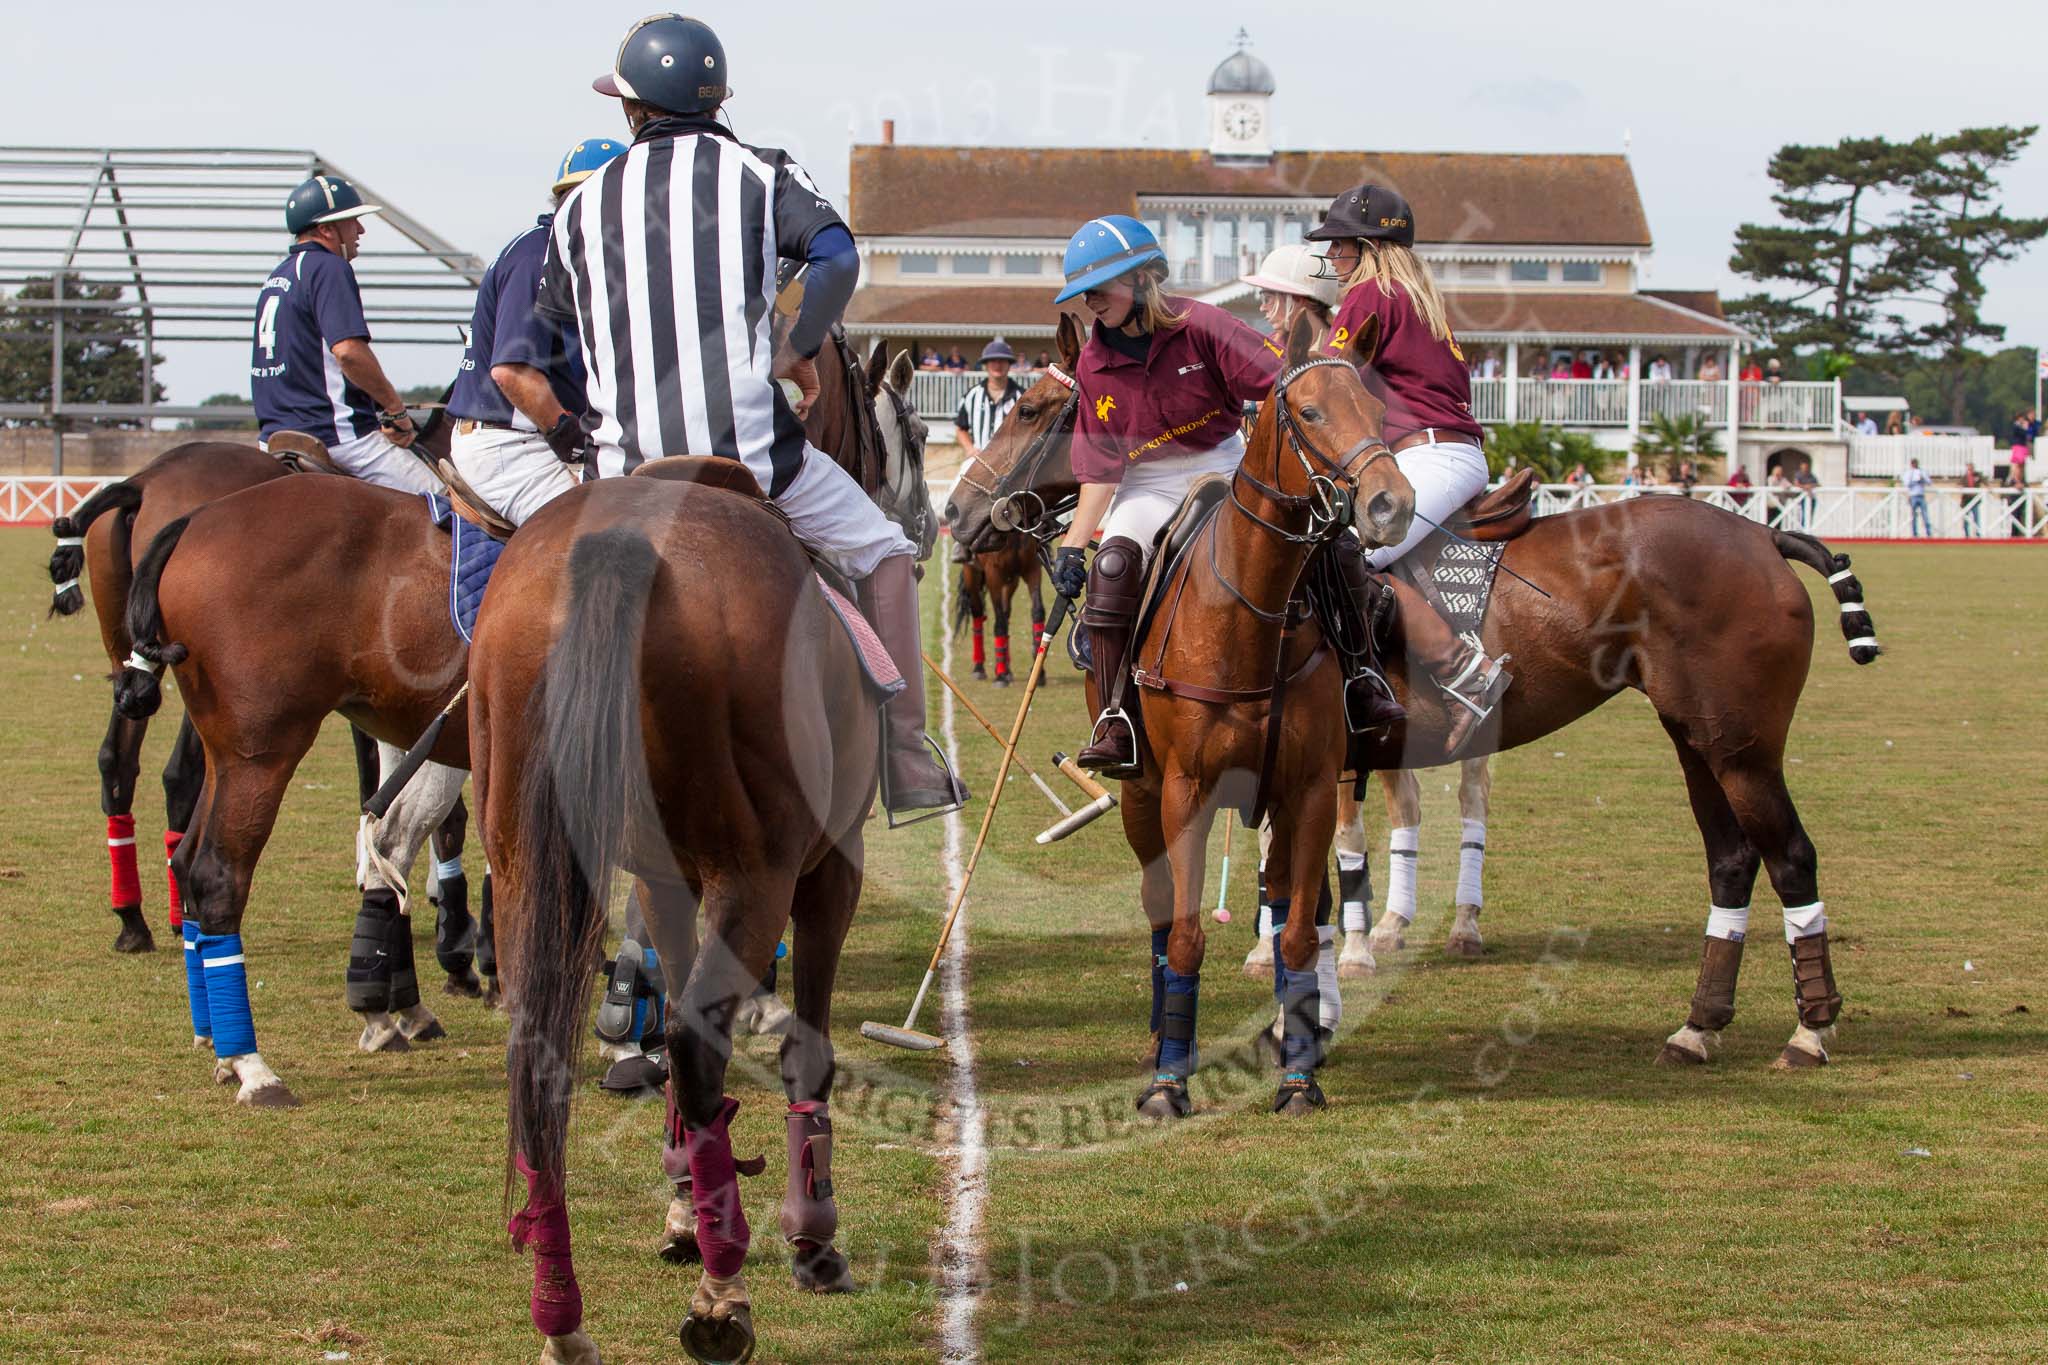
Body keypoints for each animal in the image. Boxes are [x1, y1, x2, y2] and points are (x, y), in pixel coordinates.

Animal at [103, 333, 921, 1113]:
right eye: (909, 431)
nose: (924, 531)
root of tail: (191, 515)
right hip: (262, 744)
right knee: (218, 869)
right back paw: (253, 1062)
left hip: (235, 737)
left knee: (206, 843)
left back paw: (230, 1032)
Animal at [471, 464, 880, 1358]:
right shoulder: (831, 867)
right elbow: (803, 1047)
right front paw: (810, 1231)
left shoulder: (664, 879)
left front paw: (686, 1205)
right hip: (759, 872)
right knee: (695, 1049)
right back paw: (723, 1296)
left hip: (522, 863)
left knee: (541, 1068)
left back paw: (564, 1320)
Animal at [954, 532, 1048, 683]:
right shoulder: (994, 575)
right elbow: (999, 622)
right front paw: (1000, 675)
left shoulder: (1032, 568)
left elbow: (1038, 611)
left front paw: (1038, 672)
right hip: (972, 575)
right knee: (978, 612)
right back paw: (979, 668)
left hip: (1010, 581)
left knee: (1006, 613)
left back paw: (1007, 668)